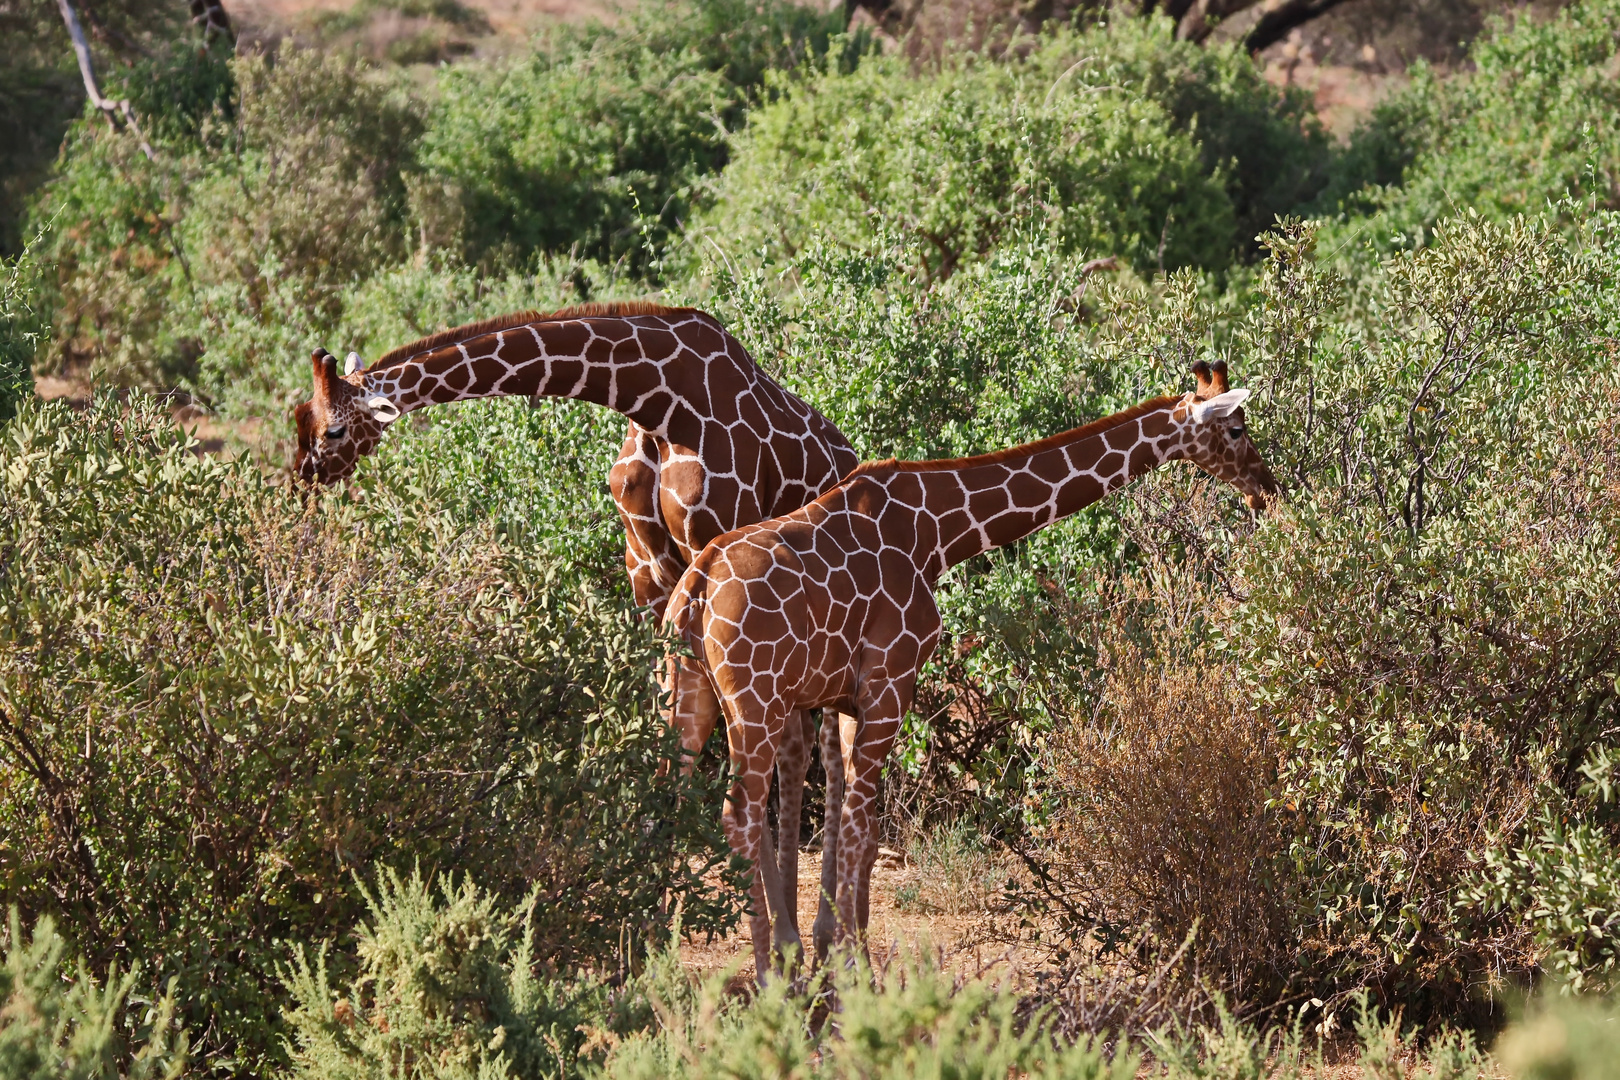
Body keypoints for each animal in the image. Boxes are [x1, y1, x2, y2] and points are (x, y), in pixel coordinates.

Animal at [298, 299, 868, 926]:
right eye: (300, 416)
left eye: (334, 428)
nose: (303, 481)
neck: (660, 402)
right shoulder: (652, 585)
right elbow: (671, 736)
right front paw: (648, 920)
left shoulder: (719, 551)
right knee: (803, 739)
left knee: (819, 747)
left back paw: (827, 930)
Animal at [664, 356, 1283, 977]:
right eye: (1237, 429)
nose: (1267, 489)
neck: (937, 532)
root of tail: (696, 588)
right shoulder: (890, 685)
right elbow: (863, 830)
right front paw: (854, 973)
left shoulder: (850, 699)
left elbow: (856, 828)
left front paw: (839, 961)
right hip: (755, 703)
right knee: (737, 817)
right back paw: (770, 979)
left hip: (689, 692)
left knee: (673, 794)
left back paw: (656, 960)